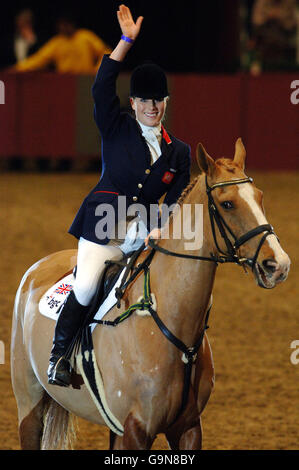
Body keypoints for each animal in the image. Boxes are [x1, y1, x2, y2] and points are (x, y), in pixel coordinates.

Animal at [11, 139, 290, 448]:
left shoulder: (188, 427)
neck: (170, 321)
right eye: (227, 204)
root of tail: (40, 265)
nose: (278, 265)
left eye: (260, 197)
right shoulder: (136, 429)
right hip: (30, 404)